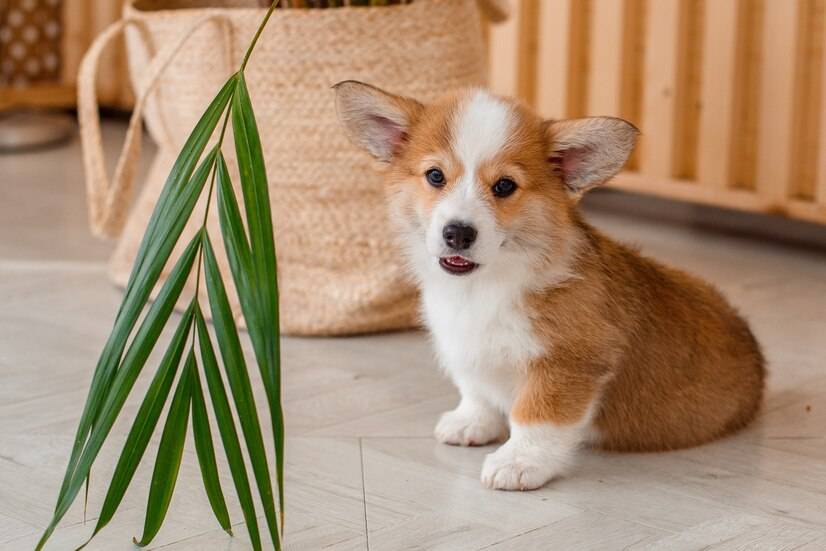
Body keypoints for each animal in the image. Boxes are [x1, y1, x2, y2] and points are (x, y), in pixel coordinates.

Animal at [332, 81, 764, 492]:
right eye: (435, 176)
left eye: (505, 186)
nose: (458, 233)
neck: (485, 286)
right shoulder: (467, 348)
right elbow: (475, 388)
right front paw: (472, 423)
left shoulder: (568, 363)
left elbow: (536, 417)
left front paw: (519, 463)